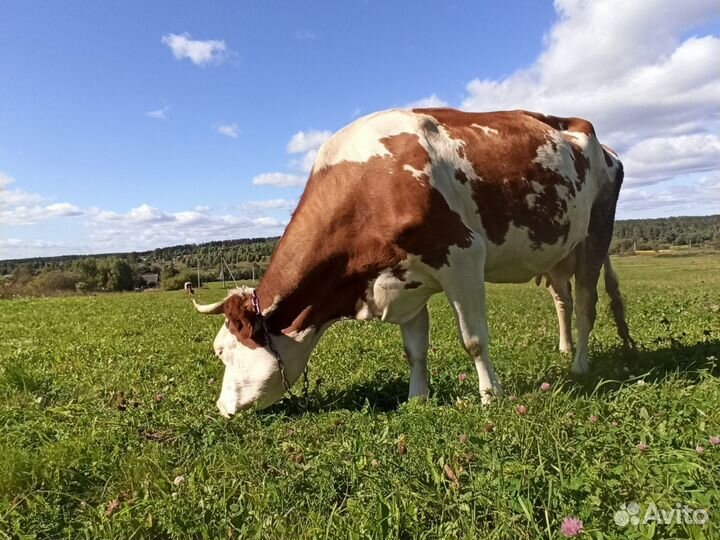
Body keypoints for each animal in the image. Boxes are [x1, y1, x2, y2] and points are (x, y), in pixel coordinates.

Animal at [193, 108, 631, 416]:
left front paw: (490, 396)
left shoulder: (463, 257)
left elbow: (474, 340)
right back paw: (564, 349)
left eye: (221, 351)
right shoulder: (404, 281)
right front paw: (417, 398)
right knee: (563, 300)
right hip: (559, 251)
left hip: (595, 236)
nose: (221, 408)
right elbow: (414, 350)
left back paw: (579, 365)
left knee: (587, 305)